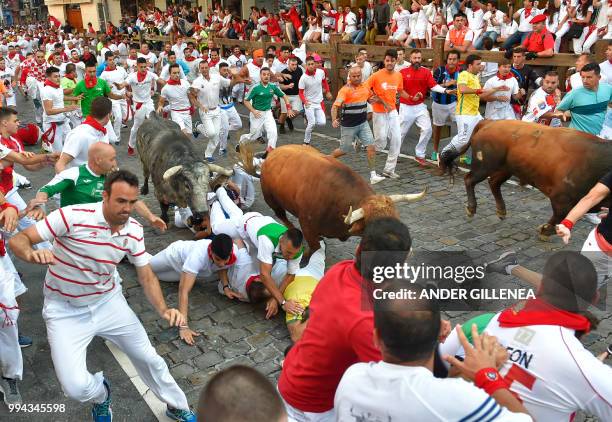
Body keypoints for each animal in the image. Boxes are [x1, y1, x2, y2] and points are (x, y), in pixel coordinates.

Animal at [258, 143, 426, 252]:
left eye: (397, 218)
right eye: (374, 226)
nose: (405, 248)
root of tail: (273, 152)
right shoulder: (307, 225)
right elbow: (315, 248)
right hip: (271, 199)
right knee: (281, 215)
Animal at [464, 120, 612, 239]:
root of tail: (489, 122)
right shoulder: (561, 198)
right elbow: (559, 216)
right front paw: (544, 230)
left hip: (506, 169)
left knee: (493, 183)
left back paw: (501, 211)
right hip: (484, 166)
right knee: (469, 179)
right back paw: (471, 208)